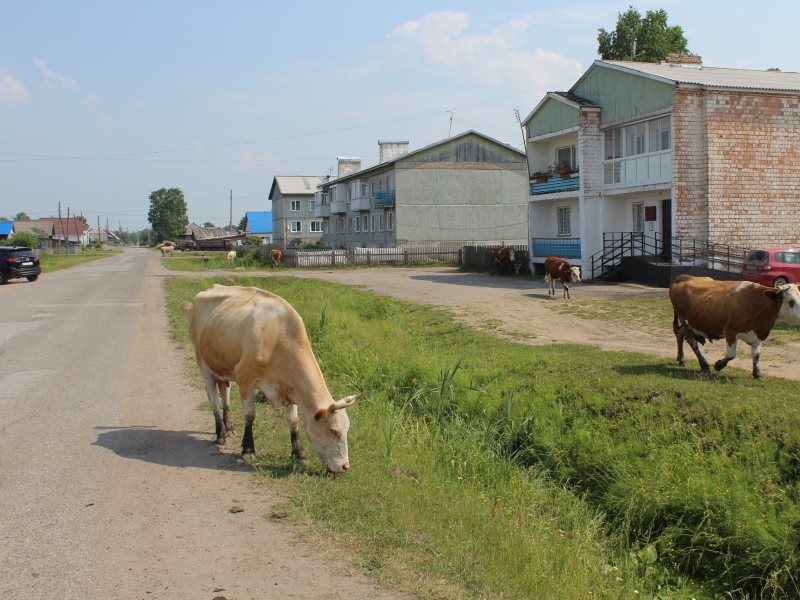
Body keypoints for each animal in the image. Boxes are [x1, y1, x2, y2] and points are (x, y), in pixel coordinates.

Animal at [184, 286, 360, 474]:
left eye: (347, 429)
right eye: (333, 430)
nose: (345, 466)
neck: (277, 338)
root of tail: (211, 288)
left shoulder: (290, 387)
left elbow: (293, 420)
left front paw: (300, 454)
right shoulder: (245, 378)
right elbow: (250, 415)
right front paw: (248, 450)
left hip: (223, 367)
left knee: (225, 392)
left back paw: (229, 427)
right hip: (203, 363)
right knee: (213, 398)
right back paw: (220, 433)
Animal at [664, 274, 800, 378]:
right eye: (791, 301)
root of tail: (684, 277)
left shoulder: (759, 334)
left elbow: (756, 355)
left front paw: (757, 374)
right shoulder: (731, 331)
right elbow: (731, 355)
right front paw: (718, 365)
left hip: (690, 322)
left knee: (680, 334)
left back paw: (681, 360)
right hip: (685, 321)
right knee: (692, 342)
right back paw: (704, 366)